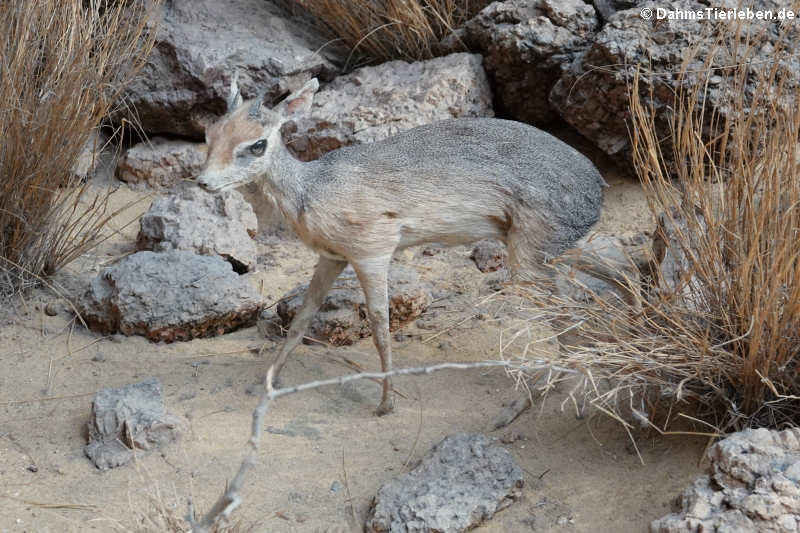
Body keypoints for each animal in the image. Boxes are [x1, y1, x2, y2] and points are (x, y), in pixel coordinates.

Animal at [198, 77, 608, 414]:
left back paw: (530, 400)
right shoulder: (332, 259)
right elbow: (301, 320)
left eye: (257, 144)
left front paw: (385, 404)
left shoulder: (373, 254)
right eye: (211, 133)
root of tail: (597, 183)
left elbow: (380, 328)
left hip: (530, 263)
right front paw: (267, 382)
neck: (309, 190)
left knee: (573, 316)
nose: (204, 182)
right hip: (558, 253)